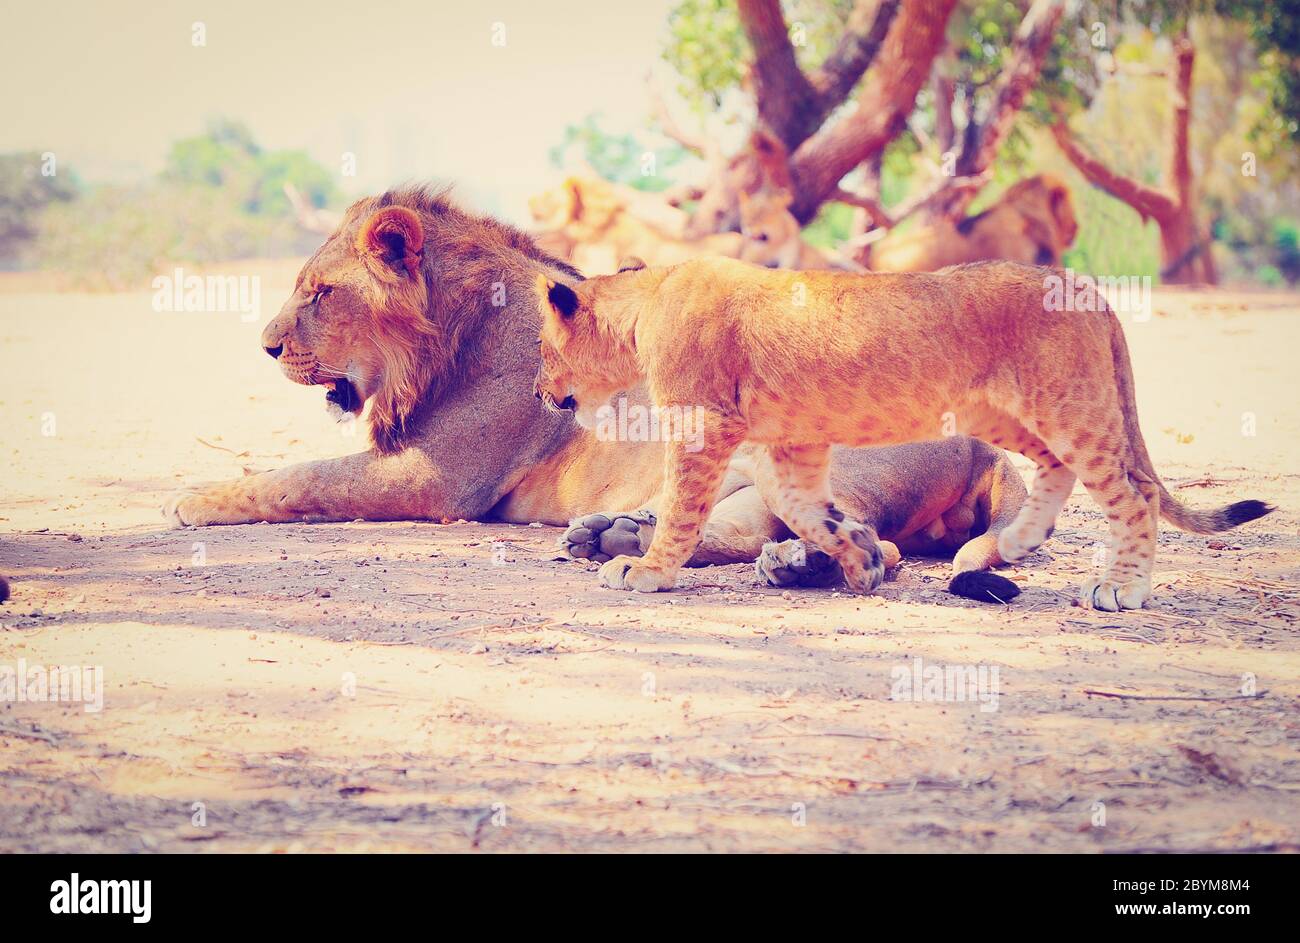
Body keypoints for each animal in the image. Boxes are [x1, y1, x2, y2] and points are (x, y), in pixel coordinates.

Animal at [165, 185, 1024, 595]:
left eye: (322, 293)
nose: (267, 345)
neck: (442, 339)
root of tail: (983, 443)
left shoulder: (439, 480)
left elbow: (300, 477)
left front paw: (193, 498)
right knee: (727, 526)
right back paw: (615, 537)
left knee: (872, 546)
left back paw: (790, 564)